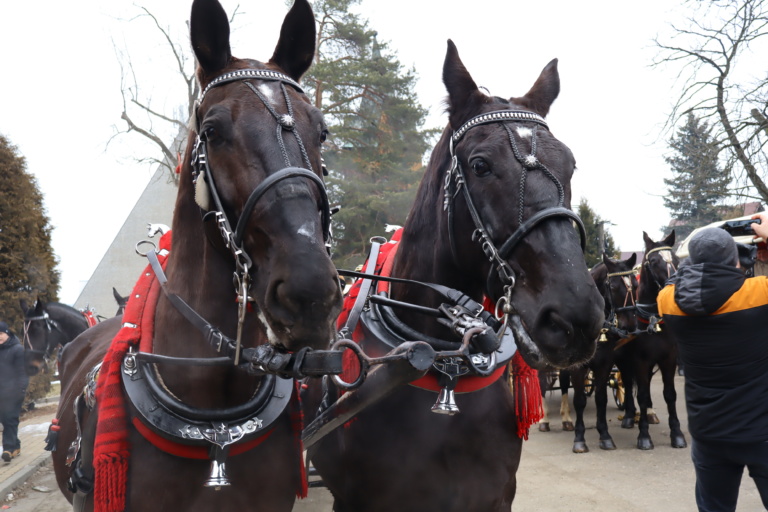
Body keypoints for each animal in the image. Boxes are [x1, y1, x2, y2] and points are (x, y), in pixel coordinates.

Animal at [620, 230, 688, 450]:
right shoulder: (639, 361)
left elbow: (670, 394)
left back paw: (649, 413)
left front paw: (677, 434)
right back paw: (629, 416)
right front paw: (644, 436)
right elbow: (640, 395)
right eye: (653, 261)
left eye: (675, 259)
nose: (675, 286)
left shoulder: (669, 359)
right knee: (627, 382)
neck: (652, 319)